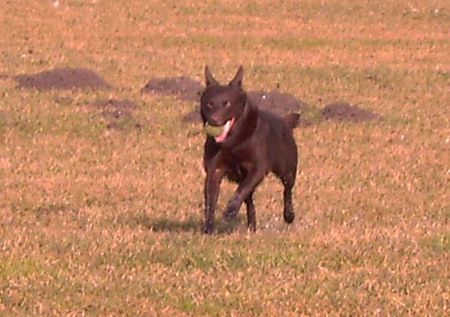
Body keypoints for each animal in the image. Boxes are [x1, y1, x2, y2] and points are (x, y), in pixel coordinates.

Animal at [200, 66, 298, 233]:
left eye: (226, 103)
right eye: (210, 104)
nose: (214, 120)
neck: (233, 142)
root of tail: (285, 121)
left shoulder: (257, 169)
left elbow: (242, 189)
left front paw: (230, 210)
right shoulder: (214, 171)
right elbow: (211, 201)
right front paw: (209, 228)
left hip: (287, 168)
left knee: (287, 190)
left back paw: (289, 215)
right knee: (250, 201)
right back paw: (252, 225)